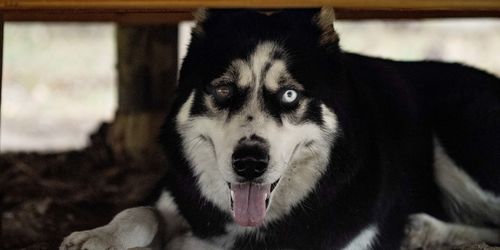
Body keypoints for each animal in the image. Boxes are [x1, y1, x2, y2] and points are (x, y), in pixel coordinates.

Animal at [59, 8, 500, 250]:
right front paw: (98, 237)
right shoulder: (177, 193)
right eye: (223, 89)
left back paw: (425, 228)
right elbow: (143, 212)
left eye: (289, 95)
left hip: (463, 134)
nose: (249, 163)